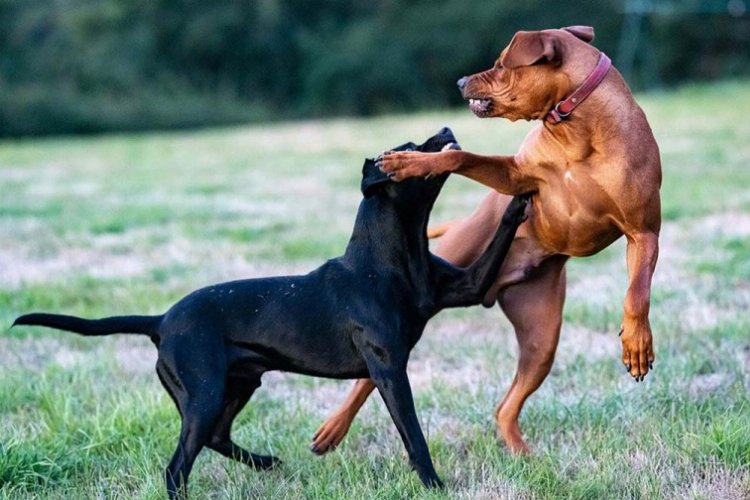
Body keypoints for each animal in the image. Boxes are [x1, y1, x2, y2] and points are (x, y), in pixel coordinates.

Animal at [11, 128, 528, 496]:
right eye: (407, 148)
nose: (445, 127)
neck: (391, 257)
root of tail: (160, 322)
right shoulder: (388, 368)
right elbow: (414, 435)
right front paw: (435, 486)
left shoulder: (466, 288)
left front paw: (521, 197)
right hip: (204, 393)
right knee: (176, 467)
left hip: (237, 385)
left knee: (216, 439)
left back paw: (266, 462)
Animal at [308, 27, 660, 458]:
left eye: (501, 64)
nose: (460, 81)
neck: (576, 129)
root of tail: (497, 286)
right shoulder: (515, 175)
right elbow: (459, 157)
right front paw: (413, 163)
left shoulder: (644, 233)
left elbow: (637, 292)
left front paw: (637, 343)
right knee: (367, 379)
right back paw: (333, 428)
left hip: (542, 339)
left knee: (505, 407)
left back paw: (522, 455)